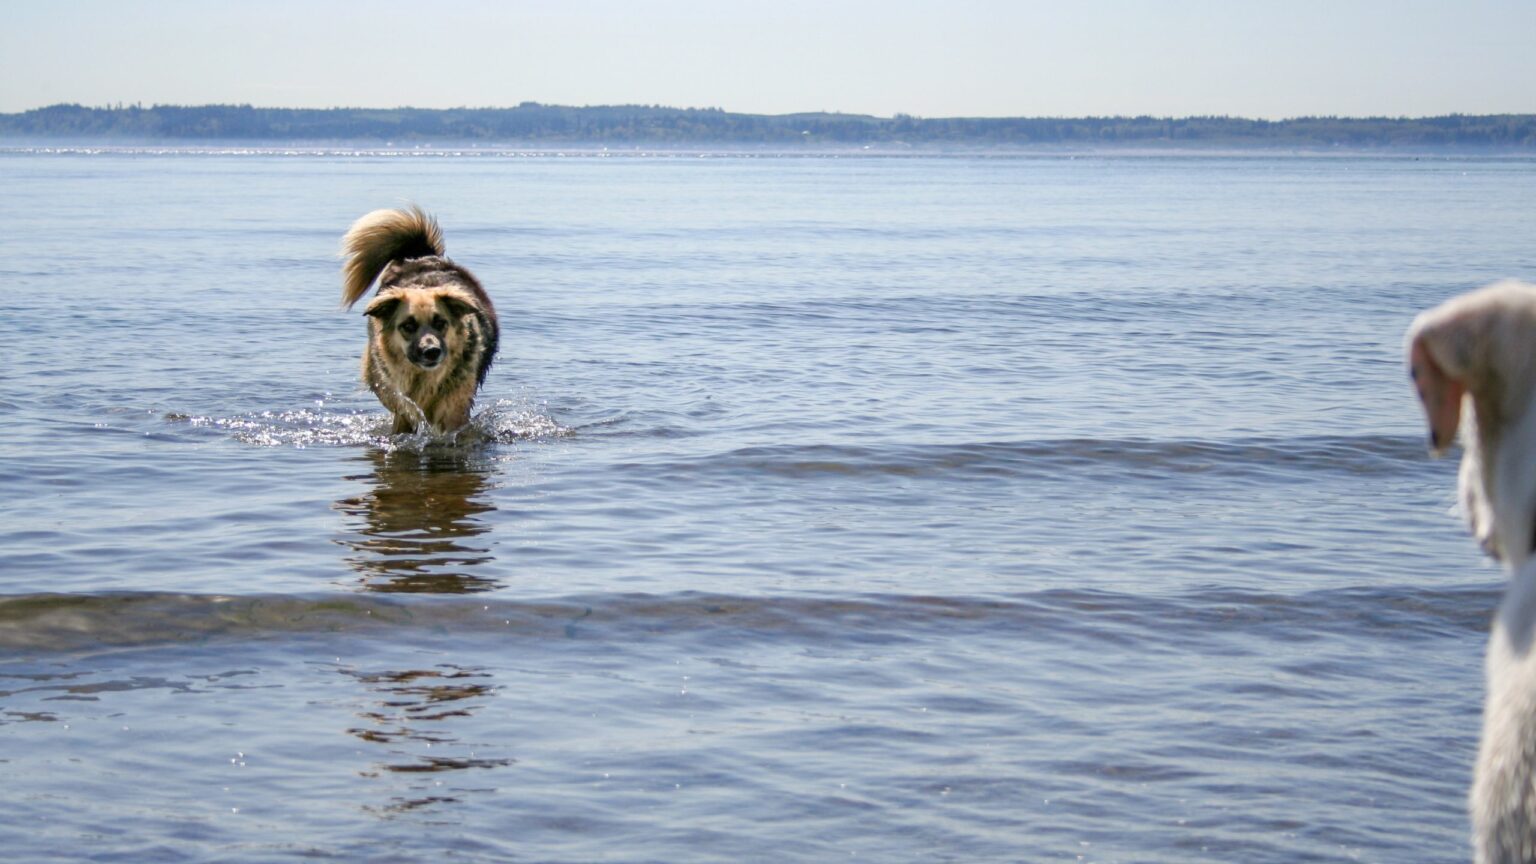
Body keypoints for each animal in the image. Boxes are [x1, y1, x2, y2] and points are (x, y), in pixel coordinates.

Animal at [340, 206, 497, 433]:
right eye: (408, 326)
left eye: (440, 323)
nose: (431, 352)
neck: (424, 379)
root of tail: (421, 255)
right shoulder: (403, 402)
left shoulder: (455, 407)